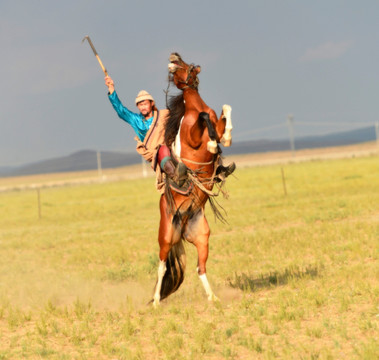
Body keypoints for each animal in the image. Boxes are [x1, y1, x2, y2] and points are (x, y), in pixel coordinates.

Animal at [153, 53, 233, 306]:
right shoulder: (194, 134)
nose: (173, 56)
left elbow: (225, 110)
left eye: (185, 63)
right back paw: (156, 301)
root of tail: (183, 220)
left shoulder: (217, 119)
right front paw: (213, 144)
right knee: (161, 267)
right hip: (166, 237)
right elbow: (205, 119)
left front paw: (224, 138)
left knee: (200, 268)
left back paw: (213, 298)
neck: (195, 106)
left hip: (202, 237)